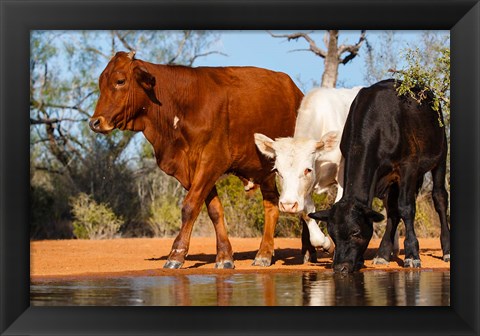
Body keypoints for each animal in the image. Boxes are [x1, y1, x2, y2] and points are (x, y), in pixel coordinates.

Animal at [88, 51, 302, 270]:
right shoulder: (191, 170)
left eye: (120, 81)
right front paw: (224, 256)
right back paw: (264, 254)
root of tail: (296, 91)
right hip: (265, 171)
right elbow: (214, 210)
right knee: (271, 205)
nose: (95, 122)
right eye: (101, 83)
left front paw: (176, 255)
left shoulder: (211, 161)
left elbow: (189, 206)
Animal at [255, 87, 360, 255]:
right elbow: (307, 213)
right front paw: (325, 243)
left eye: (307, 170)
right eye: (277, 170)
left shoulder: (343, 176)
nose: (287, 205)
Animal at [310, 79, 452, 272]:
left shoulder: (408, 166)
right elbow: (393, 210)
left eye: (355, 232)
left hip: (440, 155)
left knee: (439, 198)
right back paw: (383, 254)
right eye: (332, 234)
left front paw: (412, 255)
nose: (340, 267)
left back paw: (447, 250)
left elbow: (406, 208)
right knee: (392, 210)